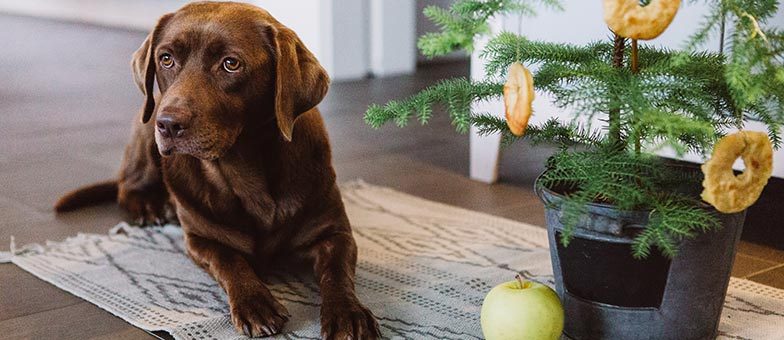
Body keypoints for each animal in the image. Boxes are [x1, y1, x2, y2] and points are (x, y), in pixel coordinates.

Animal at [55, 1, 380, 338]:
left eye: (230, 64)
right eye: (166, 58)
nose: (168, 124)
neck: (245, 172)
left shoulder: (335, 232)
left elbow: (337, 273)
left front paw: (347, 313)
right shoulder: (201, 240)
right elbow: (230, 261)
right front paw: (255, 302)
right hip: (146, 126)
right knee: (127, 186)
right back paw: (150, 207)